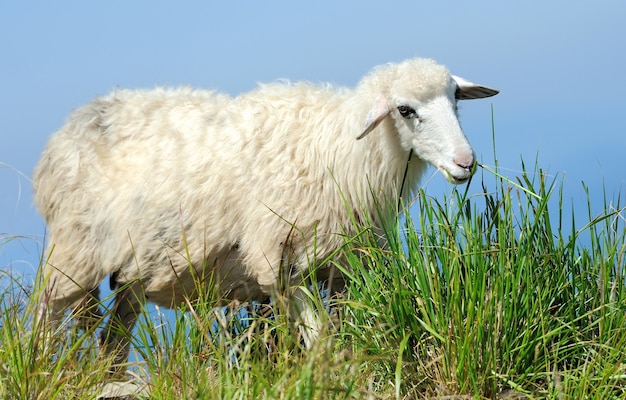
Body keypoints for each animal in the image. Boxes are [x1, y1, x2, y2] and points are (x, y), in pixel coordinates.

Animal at [33, 56, 498, 368]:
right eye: (405, 110)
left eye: (455, 99)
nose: (465, 163)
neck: (339, 148)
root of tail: (66, 131)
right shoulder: (280, 258)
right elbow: (319, 339)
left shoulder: (343, 265)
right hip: (73, 254)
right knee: (46, 316)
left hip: (132, 268)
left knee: (113, 338)